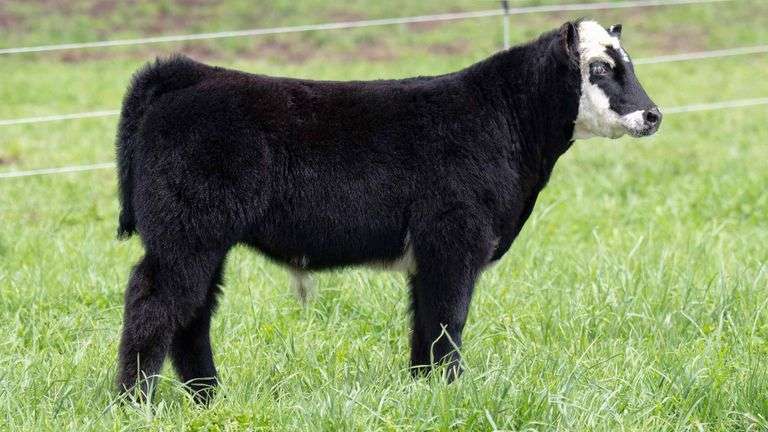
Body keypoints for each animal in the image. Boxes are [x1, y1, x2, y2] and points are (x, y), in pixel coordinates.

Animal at [114, 19, 661, 403]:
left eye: (630, 64)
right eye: (600, 69)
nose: (653, 115)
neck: (504, 119)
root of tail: (193, 74)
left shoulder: (430, 254)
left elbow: (425, 323)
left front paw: (423, 390)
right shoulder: (454, 241)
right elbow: (447, 319)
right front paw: (449, 391)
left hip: (204, 242)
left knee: (193, 312)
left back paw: (207, 398)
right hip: (186, 237)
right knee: (153, 302)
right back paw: (134, 402)